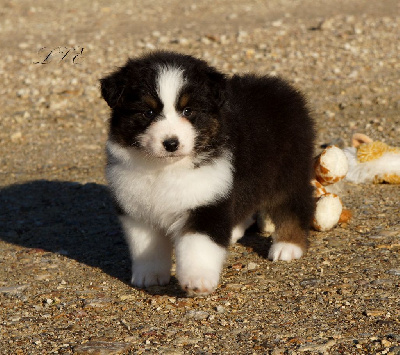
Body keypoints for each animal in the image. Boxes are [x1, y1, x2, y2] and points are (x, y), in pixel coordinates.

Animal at [100, 52, 316, 298]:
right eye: (148, 112)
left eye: (188, 111)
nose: (171, 143)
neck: (165, 169)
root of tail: (282, 89)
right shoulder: (138, 210)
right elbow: (147, 247)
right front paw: (150, 276)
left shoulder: (205, 200)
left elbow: (199, 246)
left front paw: (198, 281)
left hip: (288, 172)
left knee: (293, 205)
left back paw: (288, 245)